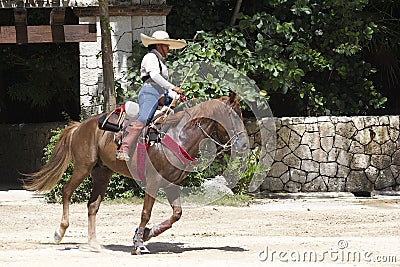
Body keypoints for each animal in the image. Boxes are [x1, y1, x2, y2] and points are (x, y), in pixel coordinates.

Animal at [23, 94, 248, 255]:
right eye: (233, 116)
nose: (245, 144)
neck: (178, 137)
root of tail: (80, 126)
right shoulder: (153, 183)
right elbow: (146, 213)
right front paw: (139, 243)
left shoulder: (171, 185)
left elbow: (176, 214)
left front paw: (147, 234)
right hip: (83, 167)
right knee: (66, 191)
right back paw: (59, 232)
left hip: (102, 173)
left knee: (92, 206)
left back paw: (94, 244)